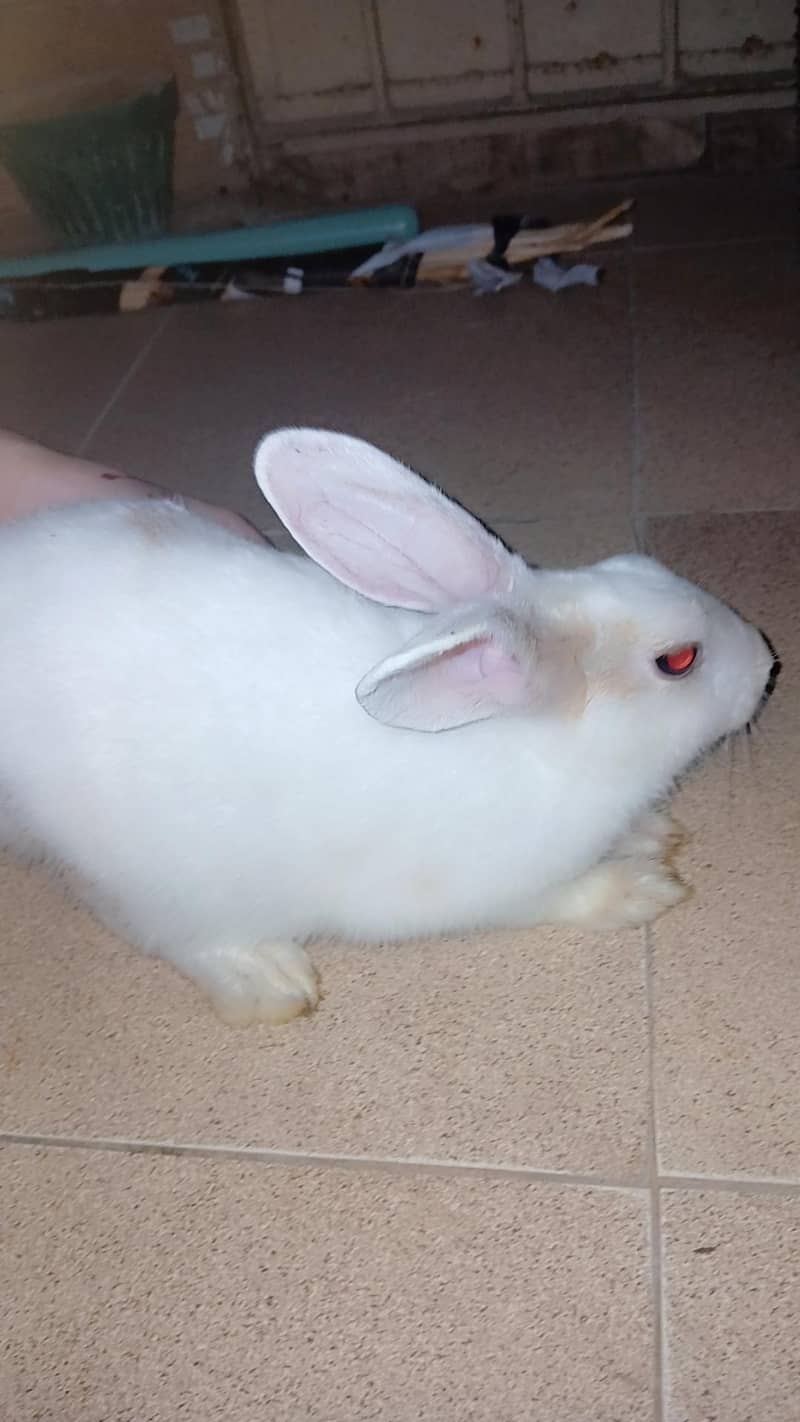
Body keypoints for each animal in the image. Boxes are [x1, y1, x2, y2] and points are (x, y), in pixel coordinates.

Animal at [0, 428, 774, 1026]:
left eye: (639, 562)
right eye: (678, 661)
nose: (769, 663)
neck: (546, 743)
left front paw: (653, 832)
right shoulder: (493, 888)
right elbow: (567, 895)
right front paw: (642, 889)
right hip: (157, 878)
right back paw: (270, 979)